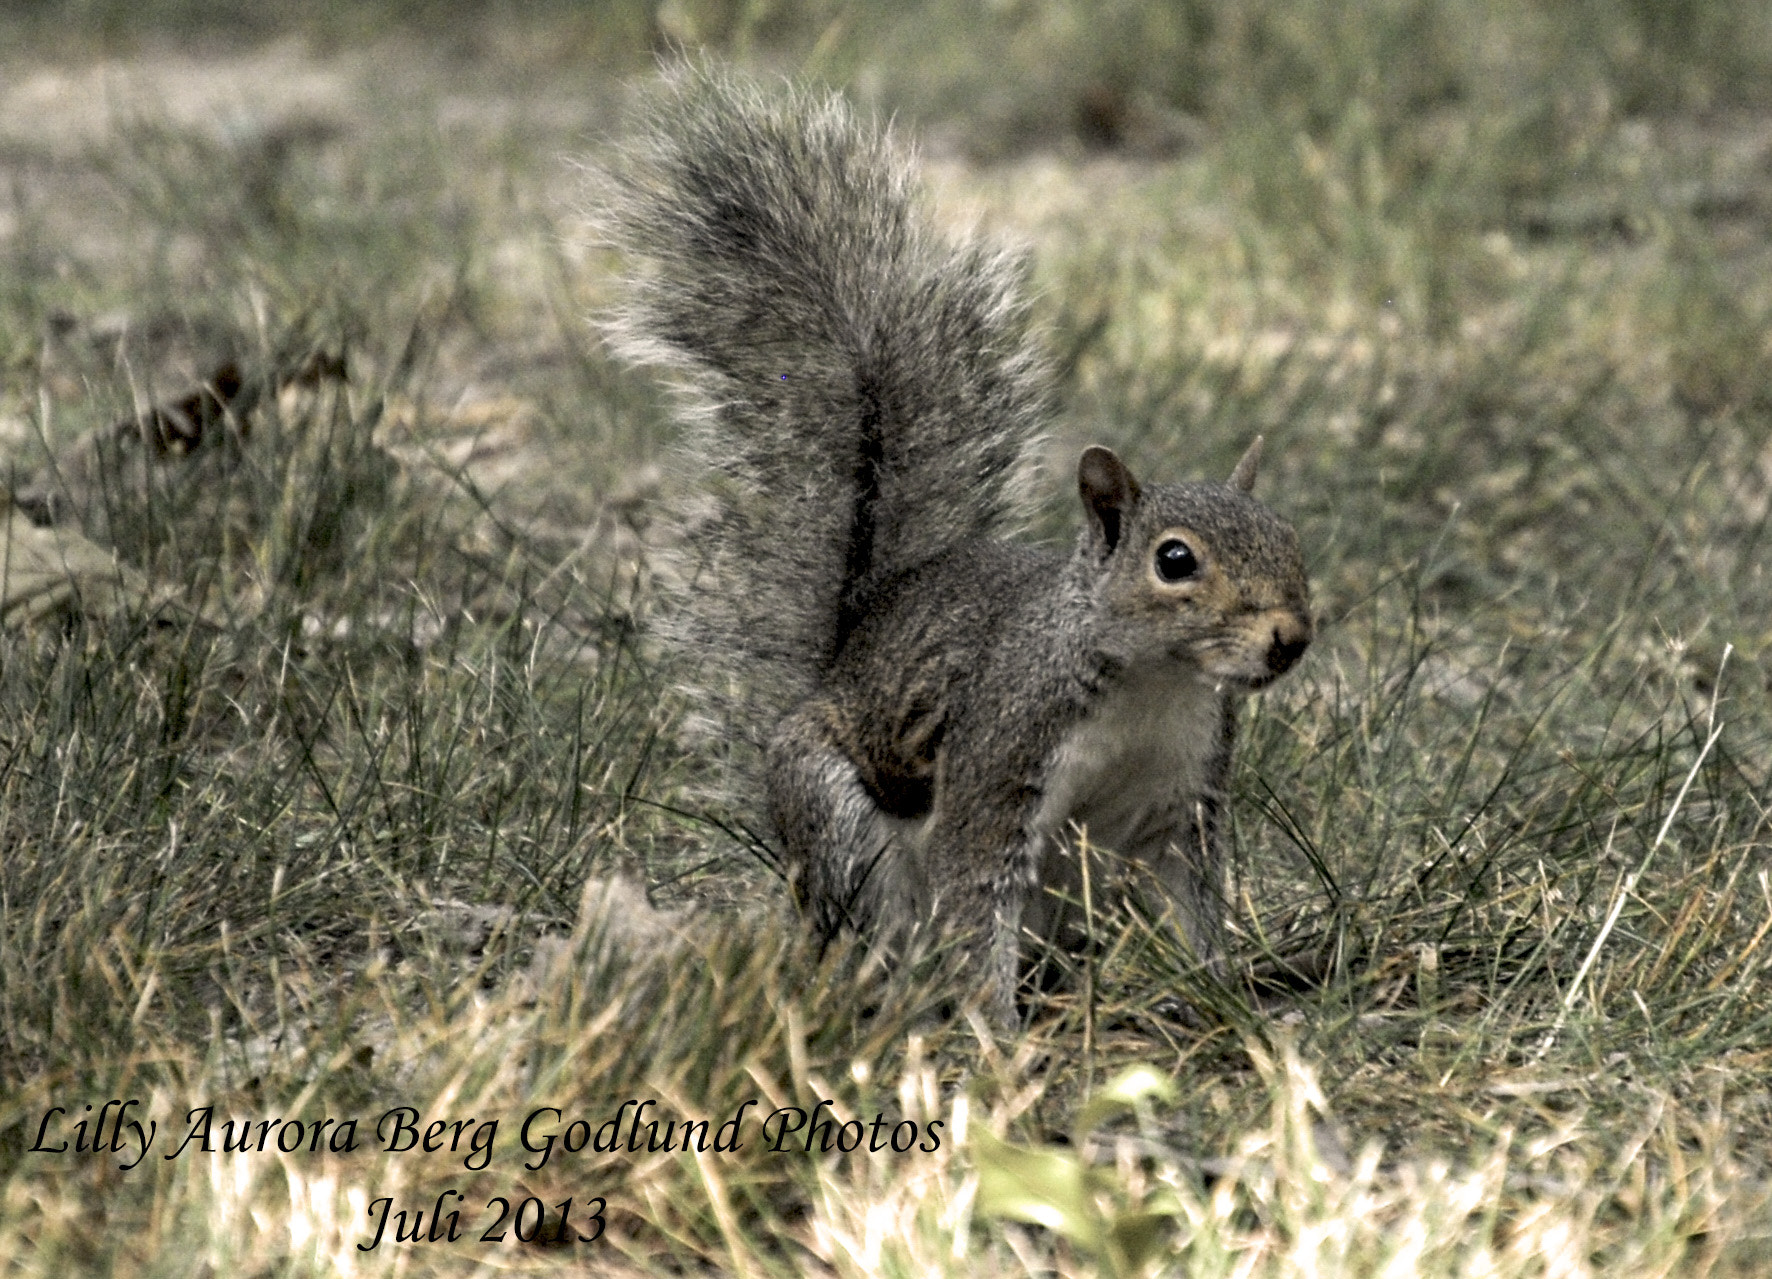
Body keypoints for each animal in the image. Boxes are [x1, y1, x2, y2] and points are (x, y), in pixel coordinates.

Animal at [592, 64, 1312, 1023]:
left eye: (1290, 539)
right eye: (1174, 560)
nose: (1291, 638)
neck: (1151, 684)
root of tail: (842, 654)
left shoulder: (1181, 797)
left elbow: (1195, 899)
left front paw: (1226, 996)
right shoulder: (1001, 759)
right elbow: (976, 890)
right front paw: (995, 1033)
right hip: (844, 831)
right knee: (887, 929)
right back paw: (903, 995)